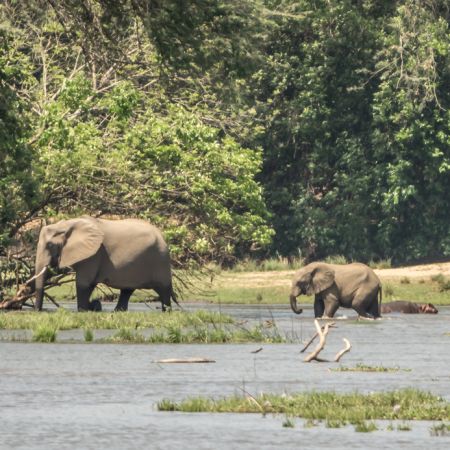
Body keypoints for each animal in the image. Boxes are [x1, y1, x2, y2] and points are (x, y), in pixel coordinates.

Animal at [34, 219, 178, 312]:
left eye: (50, 245)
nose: (38, 311)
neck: (65, 225)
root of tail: (162, 235)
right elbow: (90, 284)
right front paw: (92, 307)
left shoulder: (94, 253)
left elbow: (83, 283)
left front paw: (83, 310)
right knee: (127, 290)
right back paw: (118, 311)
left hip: (160, 258)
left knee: (163, 289)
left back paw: (167, 311)